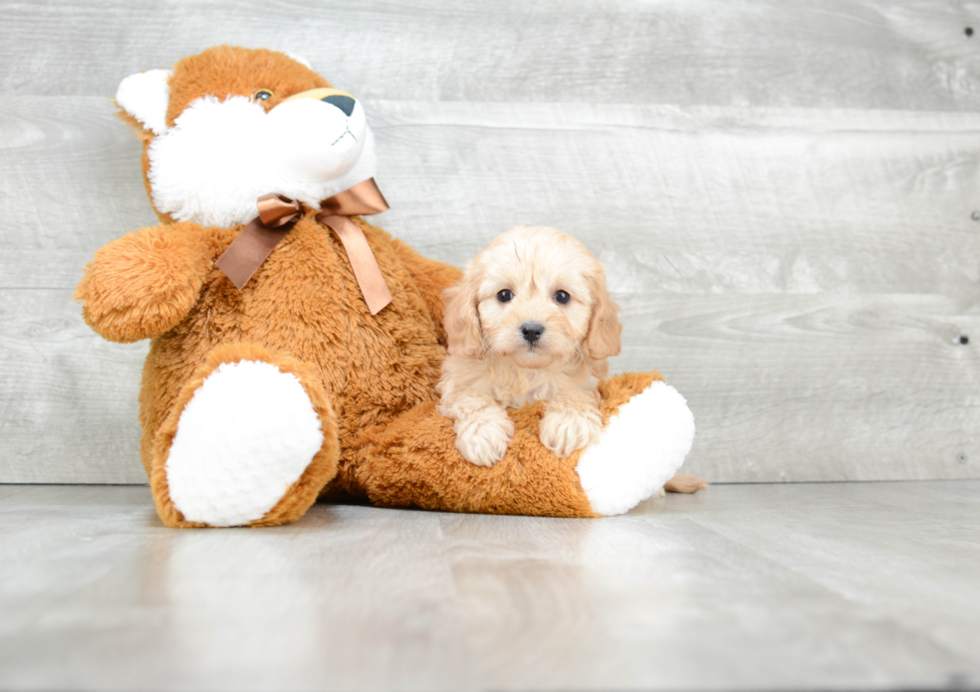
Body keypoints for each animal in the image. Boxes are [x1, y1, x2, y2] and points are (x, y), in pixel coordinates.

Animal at [440, 224, 624, 468]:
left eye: (562, 296)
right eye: (504, 294)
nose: (531, 330)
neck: (525, 370)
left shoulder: (589, 378)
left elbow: (575, 391)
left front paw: (569, 423)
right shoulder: (459, 379)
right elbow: (471, 397)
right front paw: (483, 433)